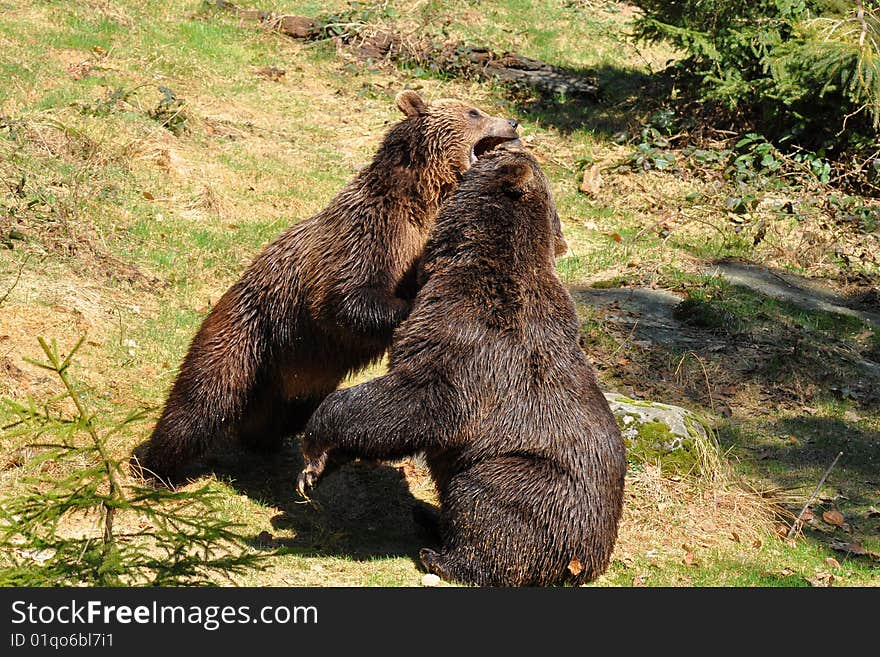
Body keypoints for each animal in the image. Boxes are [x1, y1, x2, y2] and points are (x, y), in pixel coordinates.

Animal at [138, 91, 520, 482]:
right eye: (474, 111)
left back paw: (265, 440)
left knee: (280, 413)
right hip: (252, 330)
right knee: (203, 396)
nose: (513, 122)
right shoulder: (370, 234)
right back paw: (156, 466)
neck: (421, 200)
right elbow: (347, 299)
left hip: (303, 367)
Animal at [300, 147, 628, 584]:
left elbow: (422, 400)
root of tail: (593, 560)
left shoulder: (471, 336)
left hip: (539, 483)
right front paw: (324, 465)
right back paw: (428, 516)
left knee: (488, 498)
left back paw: (441, 555)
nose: (512, 140)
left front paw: (315, 442)